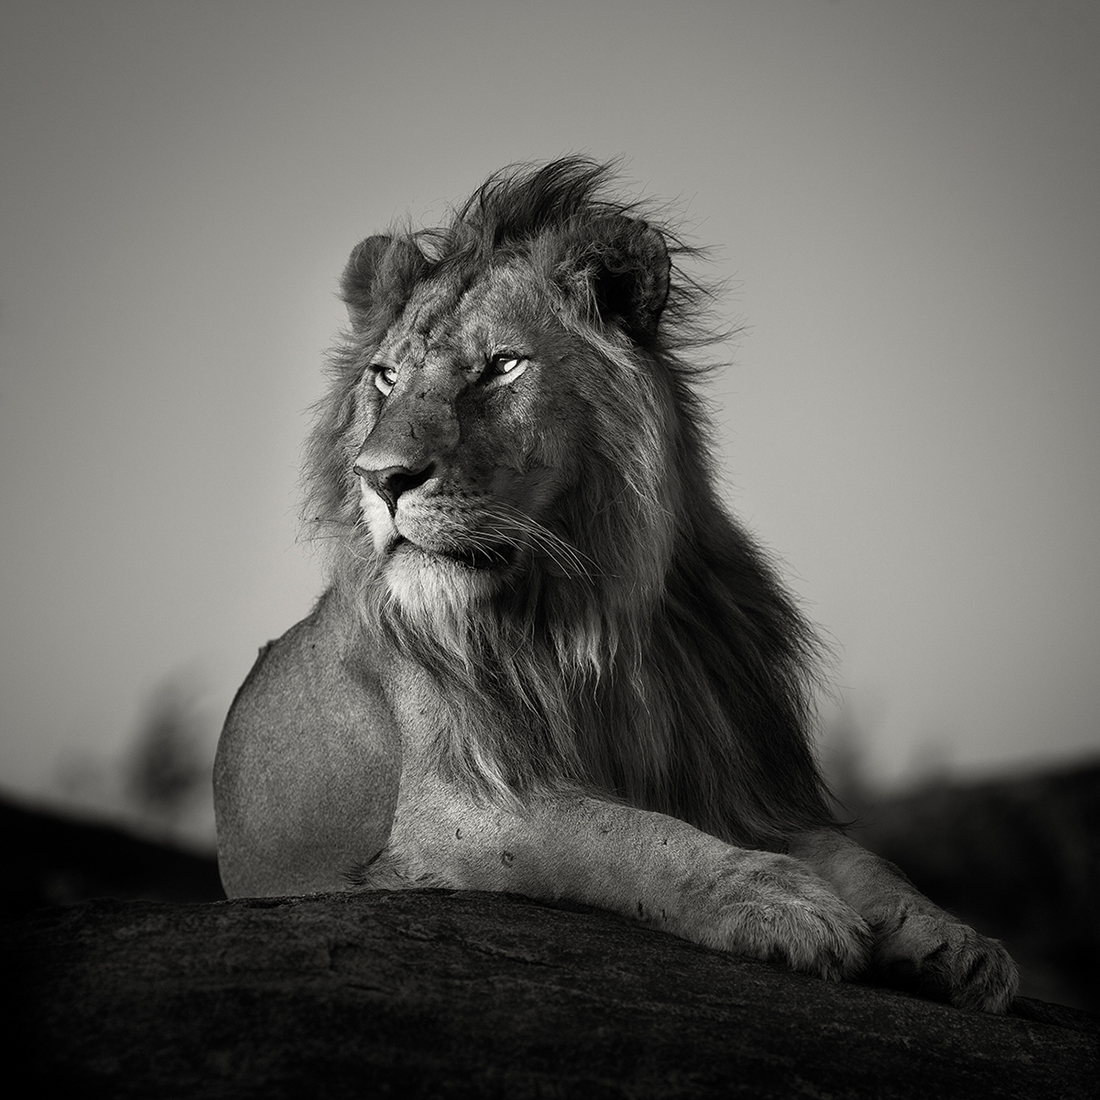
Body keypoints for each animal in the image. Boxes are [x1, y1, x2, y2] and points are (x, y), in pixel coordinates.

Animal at [213, 158, 1018, 1013]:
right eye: (386, 377)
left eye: (501, 366)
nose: (382, 479)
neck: (583, 615)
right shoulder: (453, 810)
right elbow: (622, 836)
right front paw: (780, 902)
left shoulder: (743, 785)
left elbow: (870, 865)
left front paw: (958, 944)